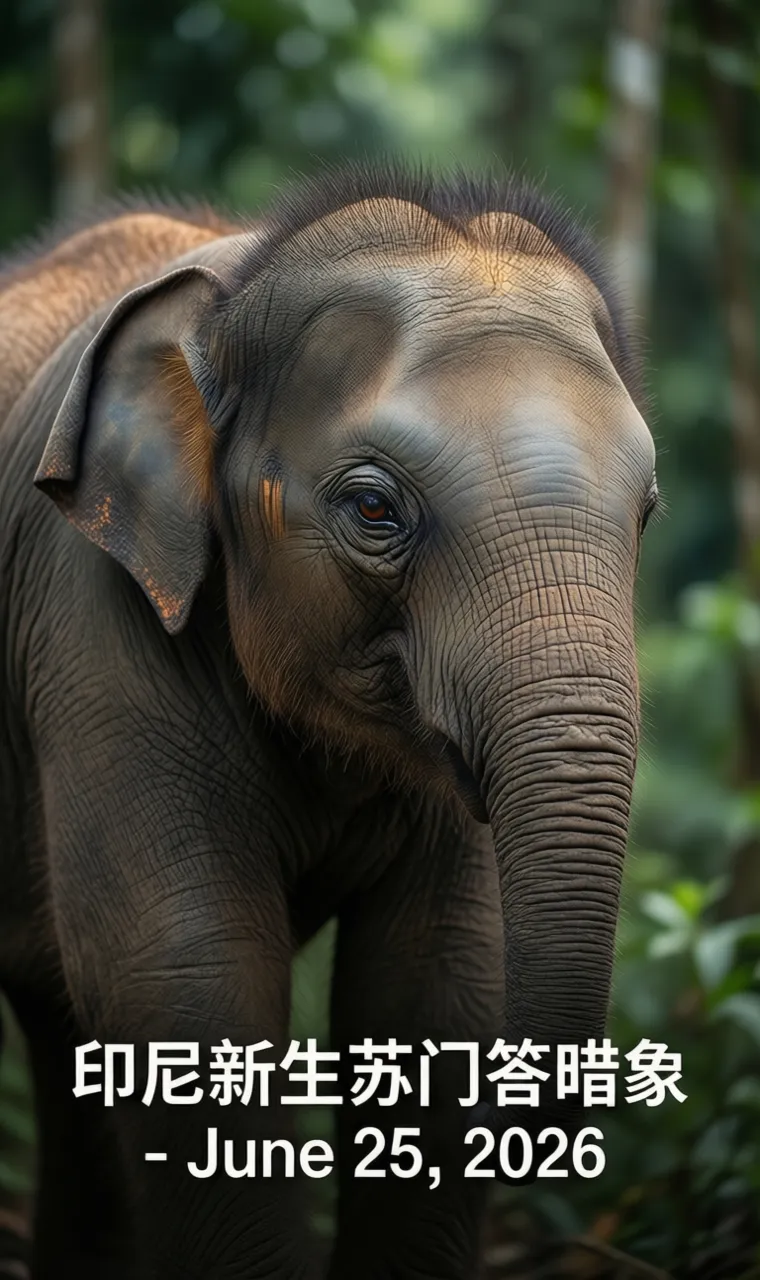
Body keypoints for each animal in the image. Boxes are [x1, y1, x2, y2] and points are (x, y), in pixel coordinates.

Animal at [0, 163, 657, 1279]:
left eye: (646, 510)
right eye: (374, 509)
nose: (565, 1116)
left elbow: (435, 987)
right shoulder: (91, 622)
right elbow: (185, 971)